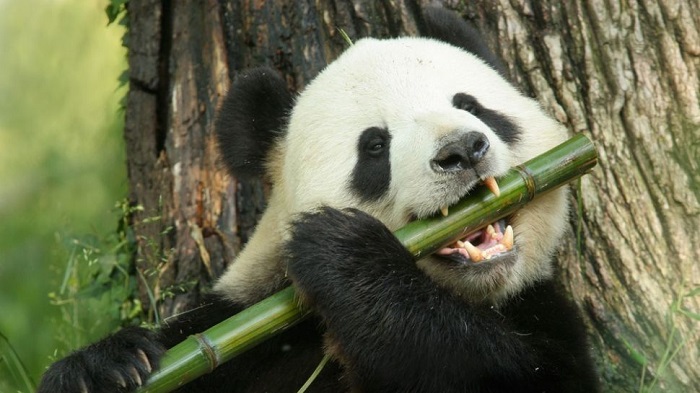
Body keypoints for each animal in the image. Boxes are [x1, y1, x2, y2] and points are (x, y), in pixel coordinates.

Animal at [37, 6, 596, 392]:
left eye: (471, 105)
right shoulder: (250, 337)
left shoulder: (541, 312)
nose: (462, 150)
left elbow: (499, 369)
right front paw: (103, 367)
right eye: (375, 146)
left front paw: (345, 254)